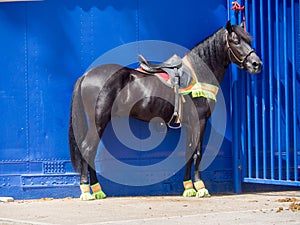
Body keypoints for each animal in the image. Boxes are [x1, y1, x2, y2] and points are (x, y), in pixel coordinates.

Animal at [69, 21, 262, 200]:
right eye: (235, 40)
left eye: (248, 39)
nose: (257, 64)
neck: (197, 75)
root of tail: (86, 75)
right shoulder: (200, 121)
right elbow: (198, 153)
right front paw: (201, 188)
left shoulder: (190, 124)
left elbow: (188, 153)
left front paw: (189, 188)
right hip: (99, 120)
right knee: (87, 149)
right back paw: (87, 191)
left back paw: (97, 191)